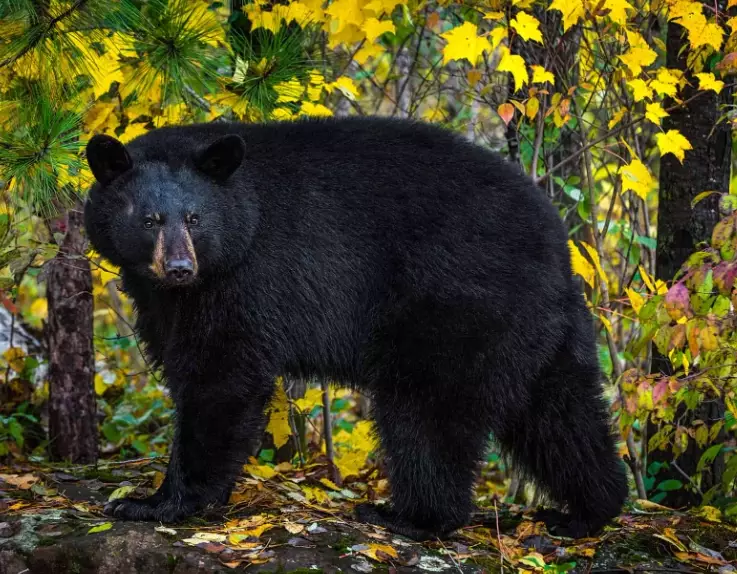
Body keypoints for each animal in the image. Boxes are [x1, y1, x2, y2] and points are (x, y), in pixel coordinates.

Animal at [83, 116, 628, 541]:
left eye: (195, 218)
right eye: (150, 219)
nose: (179, 267)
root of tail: (558, 244)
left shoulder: (246, 279)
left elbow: (220, 379)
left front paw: (155, 502)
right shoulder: (167, 298)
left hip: (455, 307)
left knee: (425, 414)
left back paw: (411, 517)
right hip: (543, 330)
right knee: (561, 413)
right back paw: (586, 512)